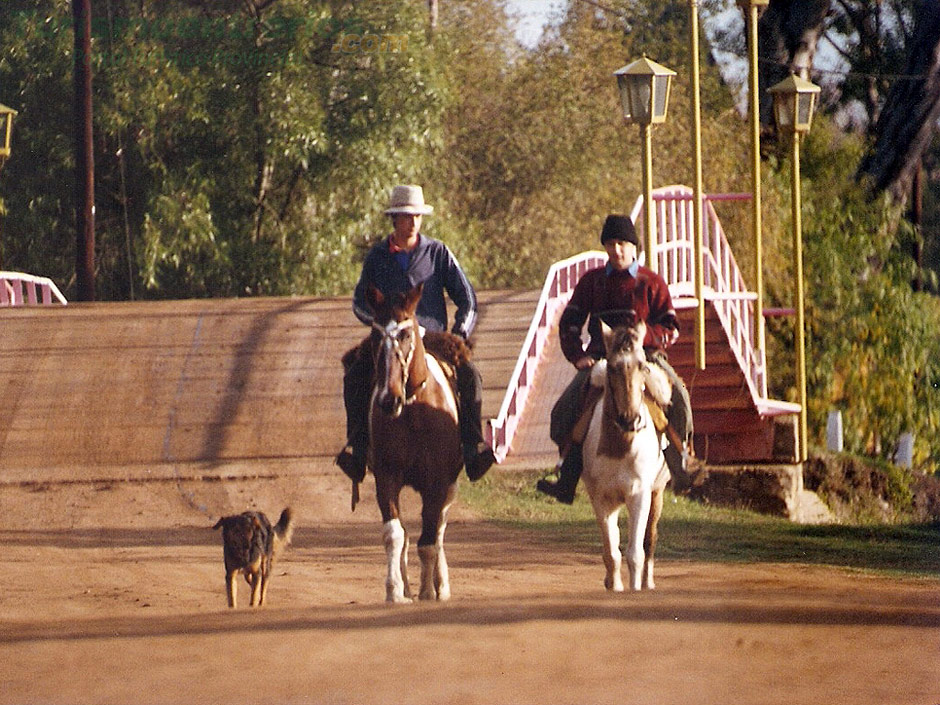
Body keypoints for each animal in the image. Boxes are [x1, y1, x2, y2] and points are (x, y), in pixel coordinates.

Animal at [366, 284, 464, 604]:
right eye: (376, 336)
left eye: (406, 335)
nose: (389, 399)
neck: (413, 412)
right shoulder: (386, 477)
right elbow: (394, 534)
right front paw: (395, 590)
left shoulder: (438, 483)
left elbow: (429, 540)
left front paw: (428, 591)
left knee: (439, 530)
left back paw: (440, 584)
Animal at [580, 320, 676, 588]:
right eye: (612, 367)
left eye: (642, 365)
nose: (630, 420)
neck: (620, 447)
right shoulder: (601, 500)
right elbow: (612, 554)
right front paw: (615, 586)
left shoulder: (639, 495)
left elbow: (635, 554)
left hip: (657, 492)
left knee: (650, 539)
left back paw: (648, 583)